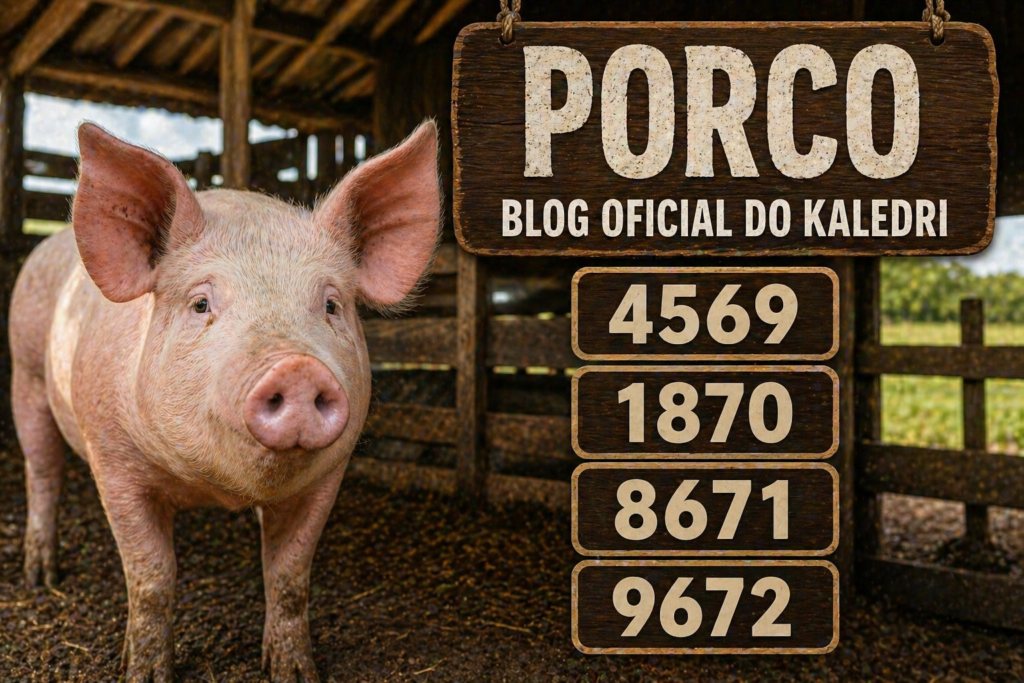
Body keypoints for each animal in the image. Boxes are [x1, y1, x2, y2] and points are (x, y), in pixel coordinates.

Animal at [9, 120, 441, 682]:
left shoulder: (328, 476)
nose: (295, 367)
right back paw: (40, 576)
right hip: (25, 373)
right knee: (42, 470)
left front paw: (294, 672)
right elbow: (152, 578)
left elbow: (289, 577)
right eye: (200, 303)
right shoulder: (113, 459)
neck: (212, 491)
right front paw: (145, 673)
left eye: (331, 305)